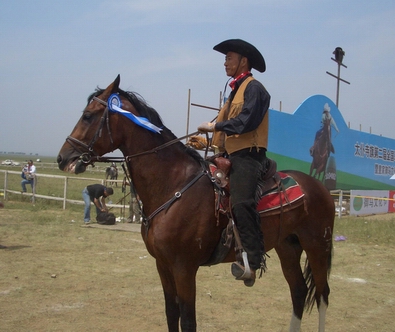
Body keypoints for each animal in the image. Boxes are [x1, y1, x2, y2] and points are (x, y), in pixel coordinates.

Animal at [56, 76, 334, 332]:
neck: (174, 184)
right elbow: (171, 313)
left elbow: (188, 320)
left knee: (322, 294)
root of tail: (320, 188)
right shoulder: (162, 265)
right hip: (288, 246)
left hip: (317, 246)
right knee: (299, 291)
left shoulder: (184, 268)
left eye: (88, 116)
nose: (62, 158)